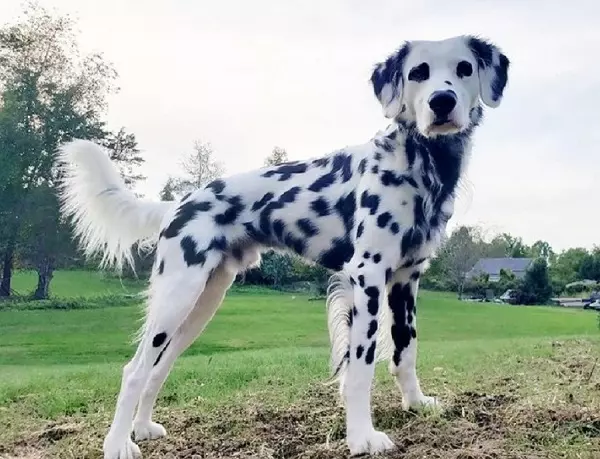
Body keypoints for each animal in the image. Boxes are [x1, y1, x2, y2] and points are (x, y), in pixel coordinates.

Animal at [55, 34, 510, 458]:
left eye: (464, 68)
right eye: (419, 72)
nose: (442, 102)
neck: (420, 165)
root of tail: (180, 203)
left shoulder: (406, 279)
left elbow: (405, 351)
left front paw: (415, 403)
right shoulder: (368, 275)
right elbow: (361, 366)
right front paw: (363, 437)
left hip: (201, 305)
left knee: (157, 368)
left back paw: (142, 429)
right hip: (177, 296)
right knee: (134, 370)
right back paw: (118, 444)